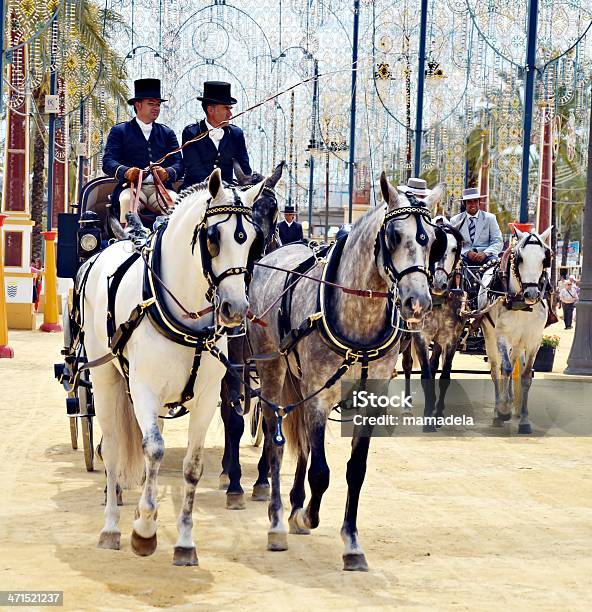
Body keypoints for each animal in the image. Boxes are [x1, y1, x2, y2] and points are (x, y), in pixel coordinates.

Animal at [80, 167, 264, 564]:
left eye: (253, 241)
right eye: (213, 238)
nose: (236, 309)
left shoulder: (208, 396)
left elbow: (191, 466)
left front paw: (184, 541)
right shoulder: (143, 388)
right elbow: (154, 450)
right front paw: (144, 530)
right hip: (105, 378)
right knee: (113, 449)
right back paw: (111, 526)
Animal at [478, 227, 552, 432]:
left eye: (544, 259)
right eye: (519, 258)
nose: (532, 293)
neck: (521, 304)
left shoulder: (534, 340)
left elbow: (525, 376)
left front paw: (524, 419)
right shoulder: (502, 336)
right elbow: (505, 368)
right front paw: (503, 410)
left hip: (519, 342)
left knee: (512, 363)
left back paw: (511, 402)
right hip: (489, 335)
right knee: (496, 369)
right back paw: (499, 409)